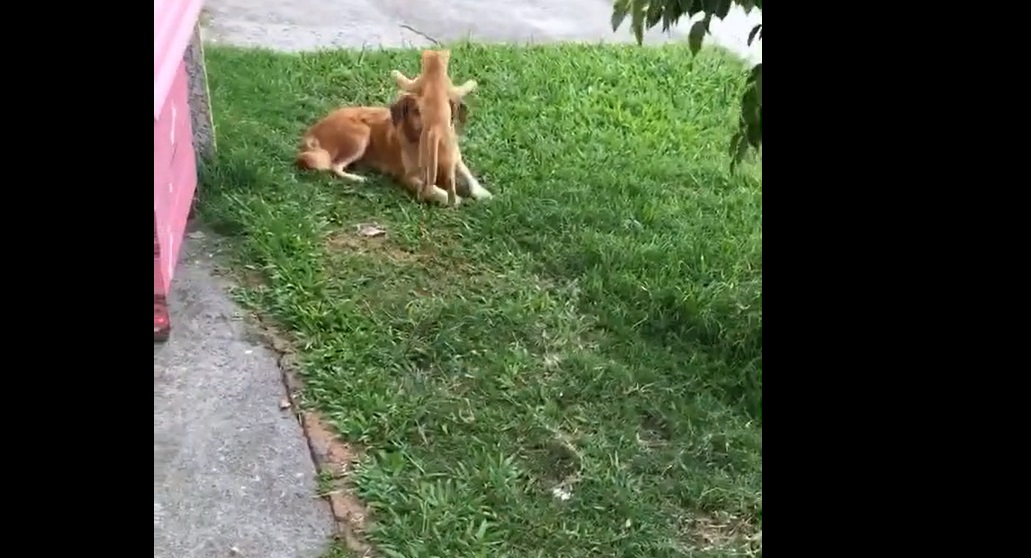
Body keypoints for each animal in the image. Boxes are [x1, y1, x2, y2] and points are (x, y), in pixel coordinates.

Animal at [296, 93, 492, 204]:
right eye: (417, 111)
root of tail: (313, 130)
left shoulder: (456, 161)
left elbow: (471, 178)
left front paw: (483, 193)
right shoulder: (409, 178)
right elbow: (432, 190)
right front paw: (452, 198)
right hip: (361, 133)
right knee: (334, 166)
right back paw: (357, 178)